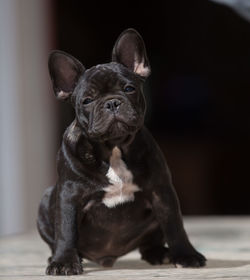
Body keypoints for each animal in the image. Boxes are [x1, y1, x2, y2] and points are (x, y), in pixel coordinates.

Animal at [36, 29, 205, 276]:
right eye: (87, 100)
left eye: (128, 89)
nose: (112, 103)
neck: (113, 149)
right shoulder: (69, 195)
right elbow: (66, 231)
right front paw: (64, 262)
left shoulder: (161, 192)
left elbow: (175, 225)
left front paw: (186, 255)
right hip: (46, 201)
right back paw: (60, 257)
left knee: (150, 241)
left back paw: (159, 253)